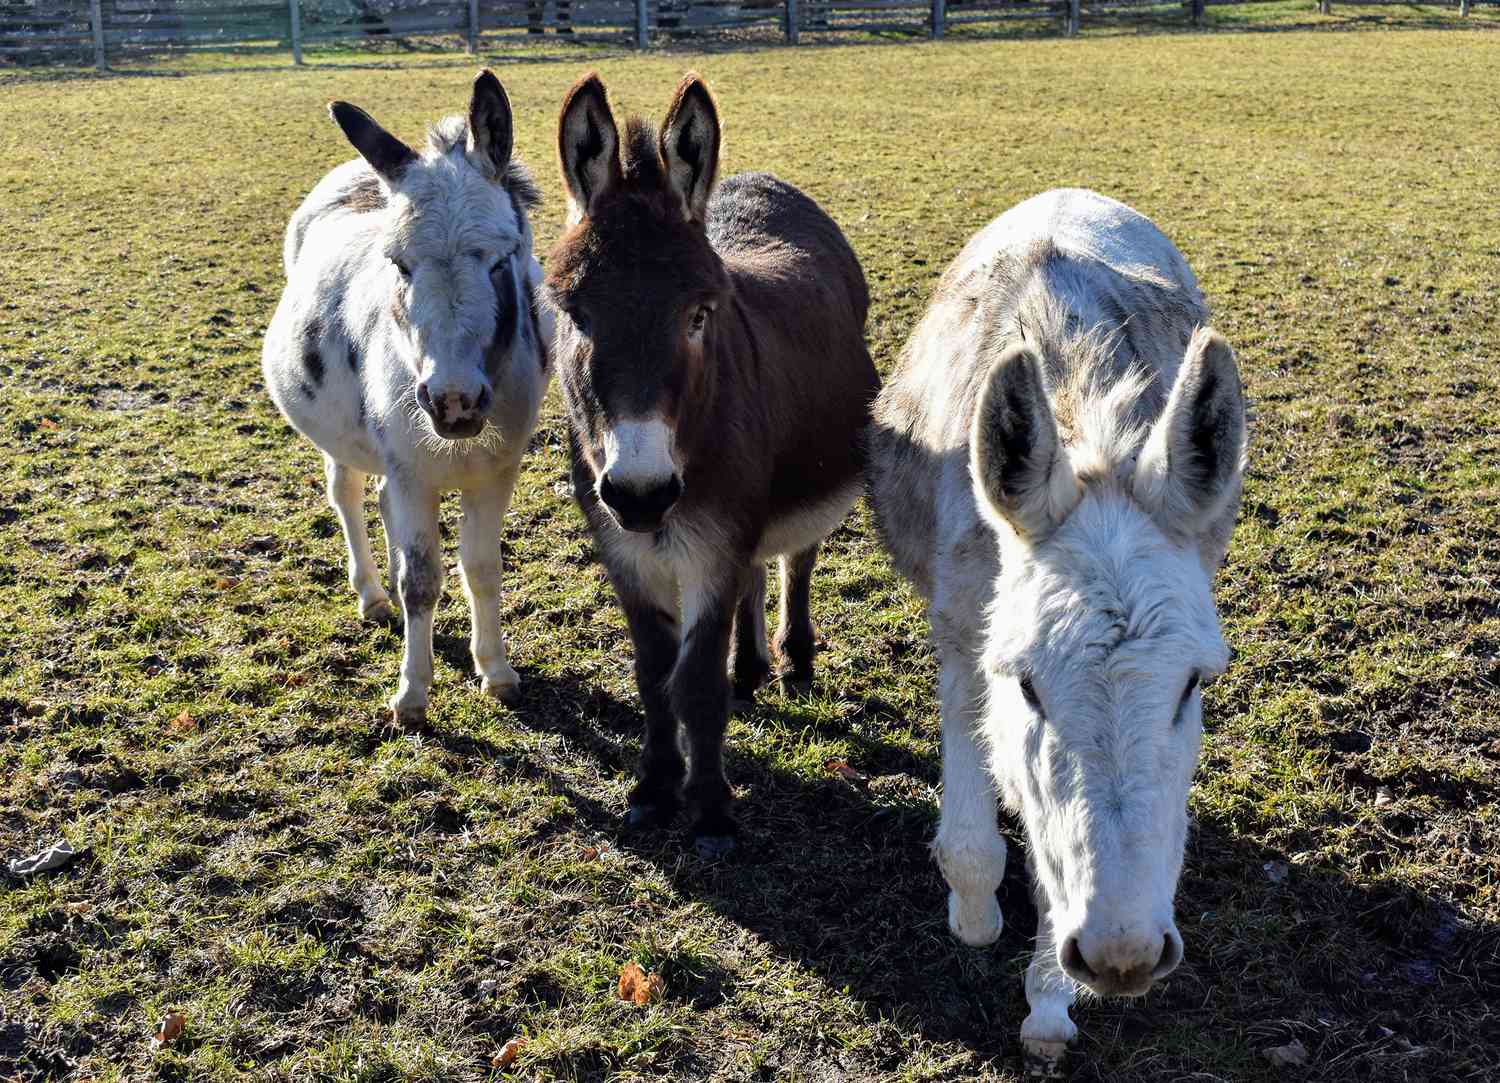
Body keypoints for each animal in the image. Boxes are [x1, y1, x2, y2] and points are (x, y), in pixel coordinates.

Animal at [262, 71, 551, 723]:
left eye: (502, 259)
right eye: (399, 264)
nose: (453, 401)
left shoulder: (495, 474)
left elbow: (482, 568)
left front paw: (496, 672)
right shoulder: (412, 471)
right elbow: (421, 582)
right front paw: (413, 694)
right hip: (347, 441)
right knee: (346, 495)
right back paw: (372, 595)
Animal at [544, 72, 880, 857]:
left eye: (699, 316)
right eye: (574, 315)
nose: (640, 494)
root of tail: (758, 179)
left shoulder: (712, 548)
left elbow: (694, 683)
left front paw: (708, 807)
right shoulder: (627, 555)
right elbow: (652, 675)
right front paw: (654, 788)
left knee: (796, 560)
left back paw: (792, 660)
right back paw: (751, 667)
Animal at [867, 188, 1247, 1071]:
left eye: (1194, 683)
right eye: (1029, 684)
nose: (1123, 957)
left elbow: (1053, 856)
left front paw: (1046, 1002)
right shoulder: (964, 636)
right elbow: (980, 838)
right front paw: (975, 913)